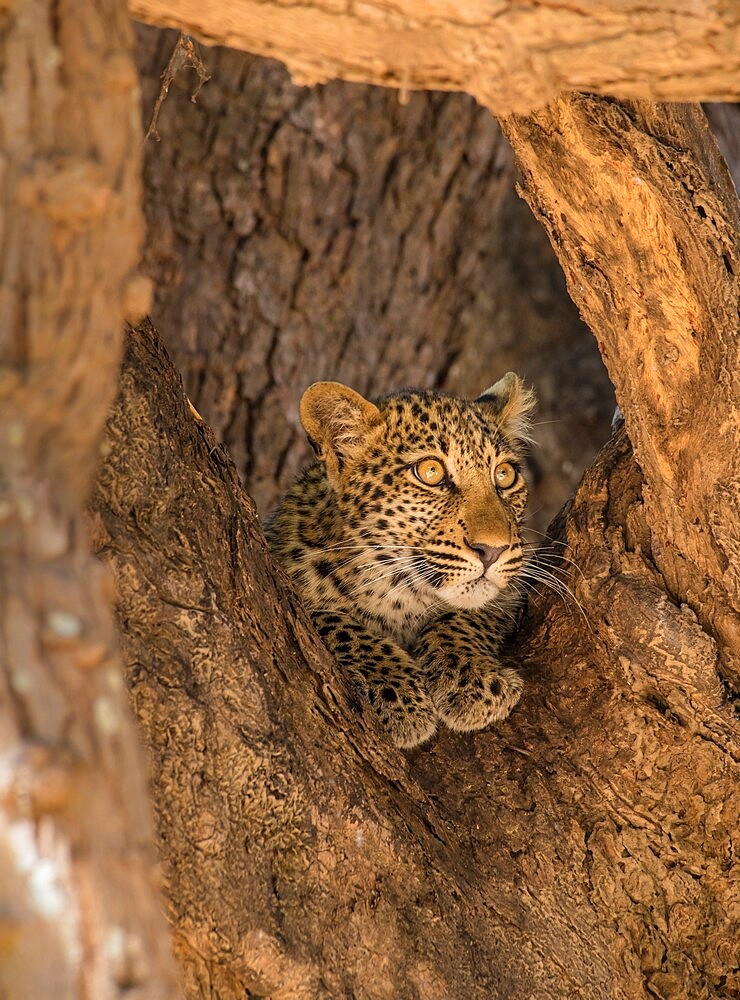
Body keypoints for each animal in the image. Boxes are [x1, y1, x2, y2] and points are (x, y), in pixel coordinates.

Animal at [264, 376, 536, 752]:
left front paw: (475, 682)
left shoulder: (511, 589)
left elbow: (467, 615)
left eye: (505, 475)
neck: (398, 594)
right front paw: (396, 694)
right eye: (431, 472)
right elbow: (335, 622)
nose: (493, 550)